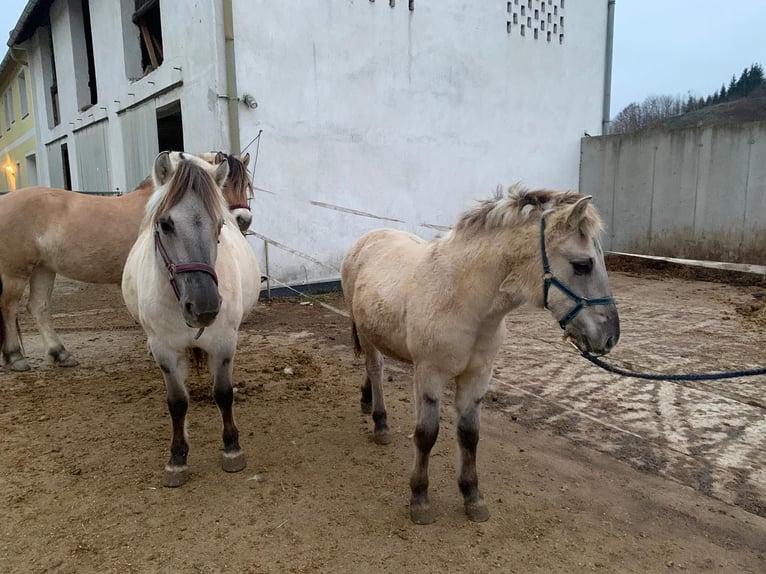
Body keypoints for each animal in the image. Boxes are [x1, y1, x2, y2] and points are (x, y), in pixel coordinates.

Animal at [0, 152, 256, 374]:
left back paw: (60, 354)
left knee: (38, 307)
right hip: (16, 272)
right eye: (226, 185)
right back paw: (16, 357)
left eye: (246, 183)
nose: (244, 219)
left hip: (43, 268)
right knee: (9, 308)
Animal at [121, 151, 262, 488]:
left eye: (219, 225)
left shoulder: (224, 343)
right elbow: (177, 402)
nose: (205, 306)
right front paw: (177, 458)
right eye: (165, 224)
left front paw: (232, 448)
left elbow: (223, 393)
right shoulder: (164, 350)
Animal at [344, 186, 620, 528]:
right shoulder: (430, 374)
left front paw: (472, 497)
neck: (461, 299)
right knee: (376, 368)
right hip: (367, 336)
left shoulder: (478, 376)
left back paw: (366, 400)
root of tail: (368, 238)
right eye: (582, 265)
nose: (610, 337)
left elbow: (469, 435)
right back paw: (380, 423)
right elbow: (426, 435)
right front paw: (419, 499)